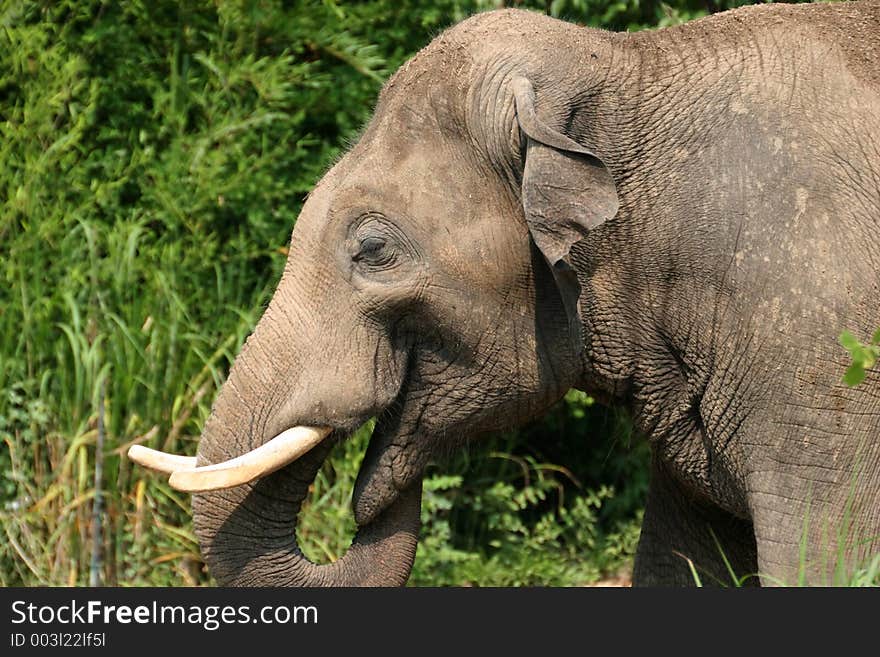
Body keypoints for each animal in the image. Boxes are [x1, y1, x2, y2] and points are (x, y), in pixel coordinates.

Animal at [129, 0, 880, 584]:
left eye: (372, 250)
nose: (373, 494)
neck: (630, 66)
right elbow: (679, 564)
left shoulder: (819, 352)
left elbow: (823, 559)